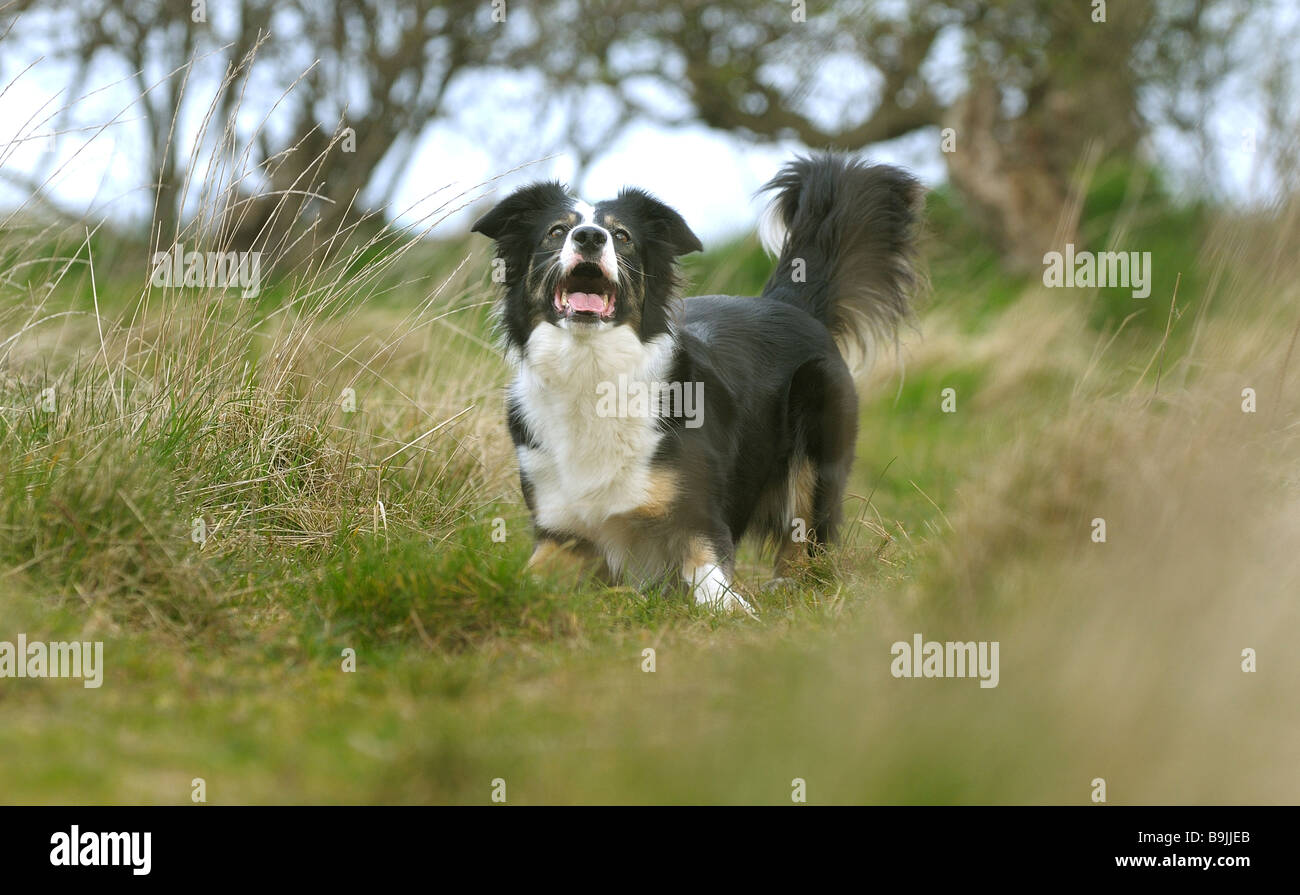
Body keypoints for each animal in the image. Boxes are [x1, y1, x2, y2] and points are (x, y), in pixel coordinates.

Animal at [473, 157, 920, 611]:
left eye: (622, 236)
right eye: (556, 231)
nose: (590, 237)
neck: (591, 372)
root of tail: (786, 303)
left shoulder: (701, 520)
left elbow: (712, 583)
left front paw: (735, 609)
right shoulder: (560, 532)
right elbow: (524, 579)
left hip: (817, 438)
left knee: (806, 537)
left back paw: (788, 584)